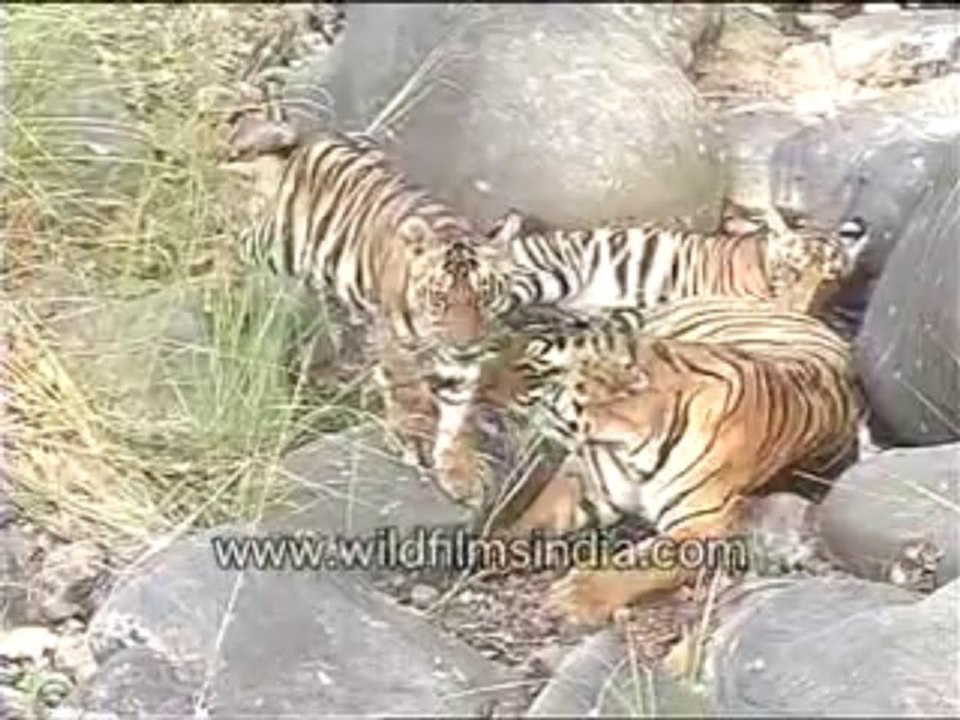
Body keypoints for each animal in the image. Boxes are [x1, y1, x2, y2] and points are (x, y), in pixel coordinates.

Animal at [224, 114, 524, 501]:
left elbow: (456, 412)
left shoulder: (460, 360)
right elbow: (407, 391)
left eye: (485, 298)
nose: (464, 343)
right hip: (276, 243)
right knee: (239, 242)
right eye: (439, 299)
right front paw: (414, 437)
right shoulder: (395, 339)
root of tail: (305, 138)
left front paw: (460, 469)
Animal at [476, 296, 864, 626]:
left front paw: (574, 597)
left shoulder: (701, 526)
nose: (478, 388)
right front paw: (489, 548)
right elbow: (530, 519)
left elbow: (638, 562)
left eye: (533, 368)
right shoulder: (590, 485)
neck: (627, 443)